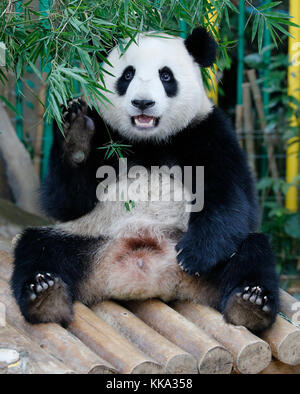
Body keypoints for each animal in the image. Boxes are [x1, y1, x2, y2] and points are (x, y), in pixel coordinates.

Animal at [11, 26, 278, 332]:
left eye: (166, 76)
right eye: (127, 75)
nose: (143, 103)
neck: (148, 140)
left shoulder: (206, 131)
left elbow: (232, 197)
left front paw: (194, 255)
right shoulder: (106, 135)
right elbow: (64, 202)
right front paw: (76, 136)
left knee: (253, 252)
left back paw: (249, 303)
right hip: (84, 239)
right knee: (37, 247)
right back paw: (45, 295)